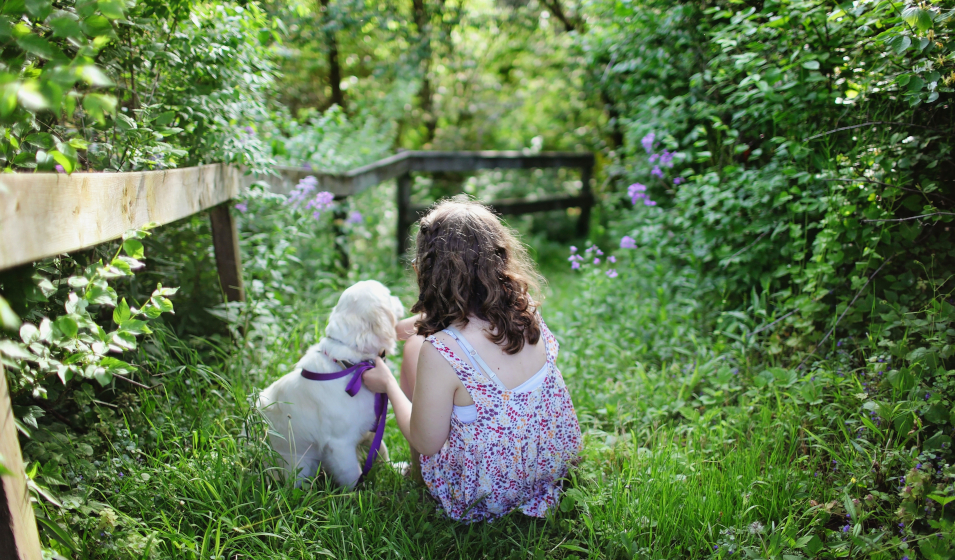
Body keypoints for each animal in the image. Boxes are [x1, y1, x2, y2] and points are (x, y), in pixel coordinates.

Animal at [256, 278, 402, 486]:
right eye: (389, 295)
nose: (399, 298)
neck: (350, 365)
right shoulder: (340, 444)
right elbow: (353, 475)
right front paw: (360, 492)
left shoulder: (371, 426)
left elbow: (381, 450)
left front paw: (395, 469)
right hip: (301, 466)